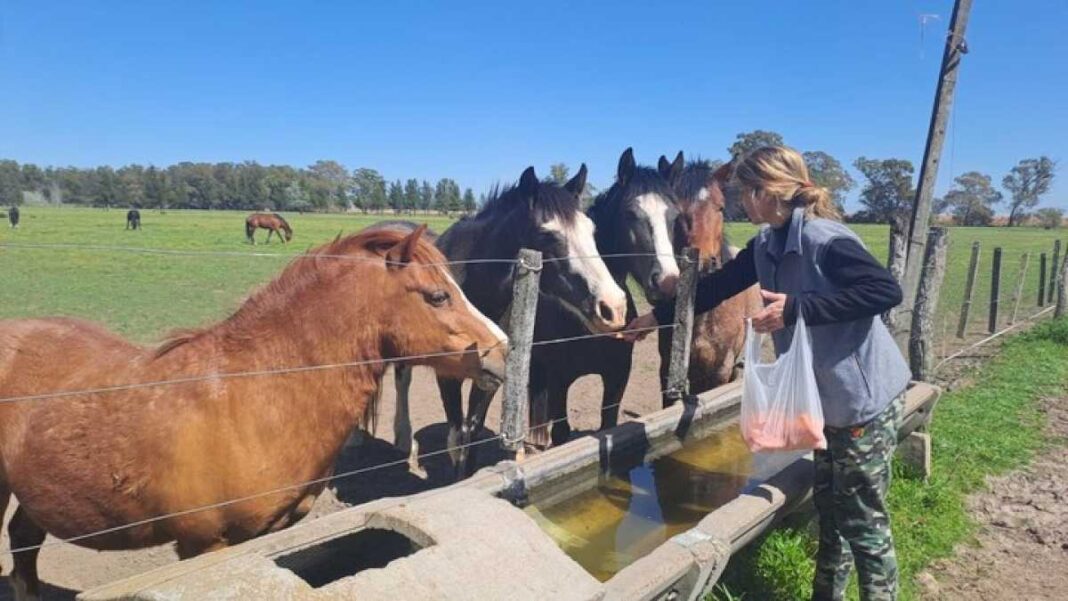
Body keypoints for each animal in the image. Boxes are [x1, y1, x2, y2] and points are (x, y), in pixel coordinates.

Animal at [393, 165, 627, 480]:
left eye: (591, 230)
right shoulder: (448, 375)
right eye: (547, 235)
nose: (613, 307)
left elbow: (471, 432)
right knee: (401, 380)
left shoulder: (491, 375)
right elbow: (456, 437)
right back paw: (403, 440)